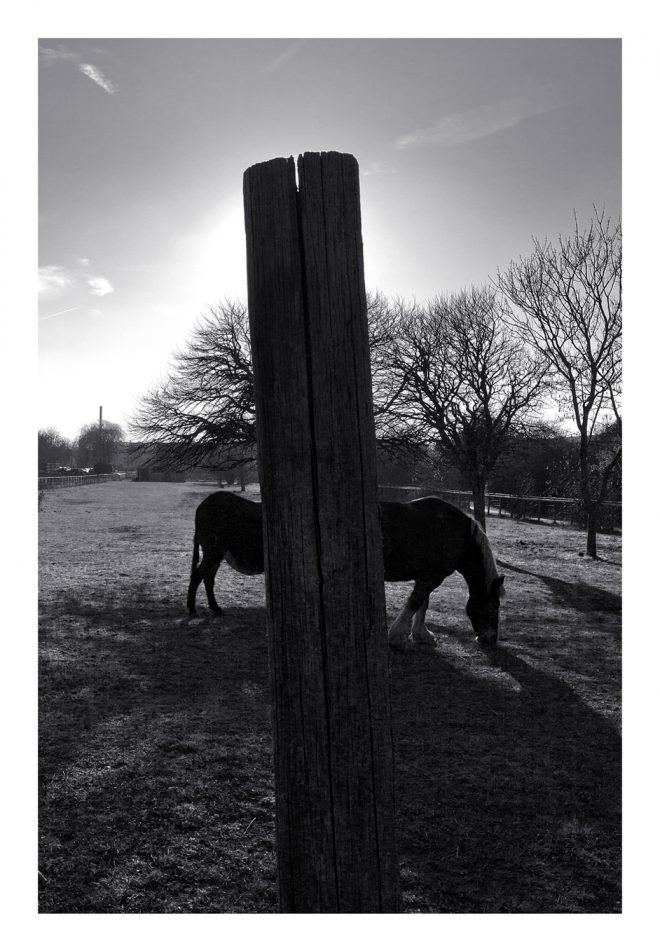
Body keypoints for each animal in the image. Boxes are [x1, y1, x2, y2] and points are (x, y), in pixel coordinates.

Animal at [186, 492, 505, 647]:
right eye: (492, 607)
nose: (489, 640)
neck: (454, 531)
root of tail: (205, 504)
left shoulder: (427, 575)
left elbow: (422, 605)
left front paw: (421, 635)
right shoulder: (430, 576)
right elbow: (415, 603)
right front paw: (397, 637)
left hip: (214, 554)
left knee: (207, 578)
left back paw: (213, 608)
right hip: (213, 552)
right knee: (200, 576)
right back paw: (193, 609)